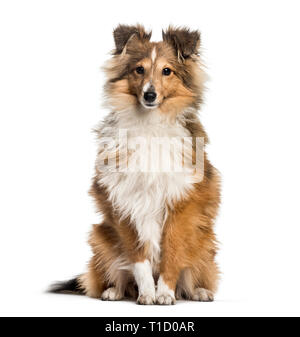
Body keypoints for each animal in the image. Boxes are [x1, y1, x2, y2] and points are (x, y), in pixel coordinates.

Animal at [50, 23, 220, 302]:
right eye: (139, 69)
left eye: (167, 71)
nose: (149, 95)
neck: (149, 123)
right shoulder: (123, 202)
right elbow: (138, 258)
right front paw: (149, 293)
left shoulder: (181, 203)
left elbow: (172, 252)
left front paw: (165, 293)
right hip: (101, 237)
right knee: (115, 276)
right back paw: (114, 291)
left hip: (203, 240)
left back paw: (198, 291)